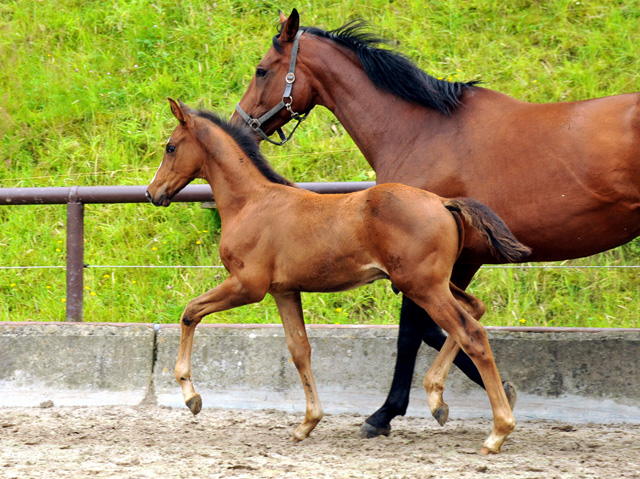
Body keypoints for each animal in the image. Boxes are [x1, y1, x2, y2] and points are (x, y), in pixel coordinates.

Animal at [145, 100, 528, 454]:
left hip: (423, 286)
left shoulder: (247, 286)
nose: (152, 192)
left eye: (171, 147)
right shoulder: (284, 291)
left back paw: (497, 432)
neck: (250, 203)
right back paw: (437, 399)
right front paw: (307, 423)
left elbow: (191, 311)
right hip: (432, 283)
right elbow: (299, 349)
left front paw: (191, 397)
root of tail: (443, 202)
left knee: (471, 333)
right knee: (474, 310)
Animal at [232, 8, 640, 438]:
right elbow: (441, 327)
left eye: (261, 70)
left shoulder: (424, 264)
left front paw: (387, 413)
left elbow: (415, 332)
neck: (420, 131)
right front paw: (488, 391)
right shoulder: (455, 262)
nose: (239, 125)